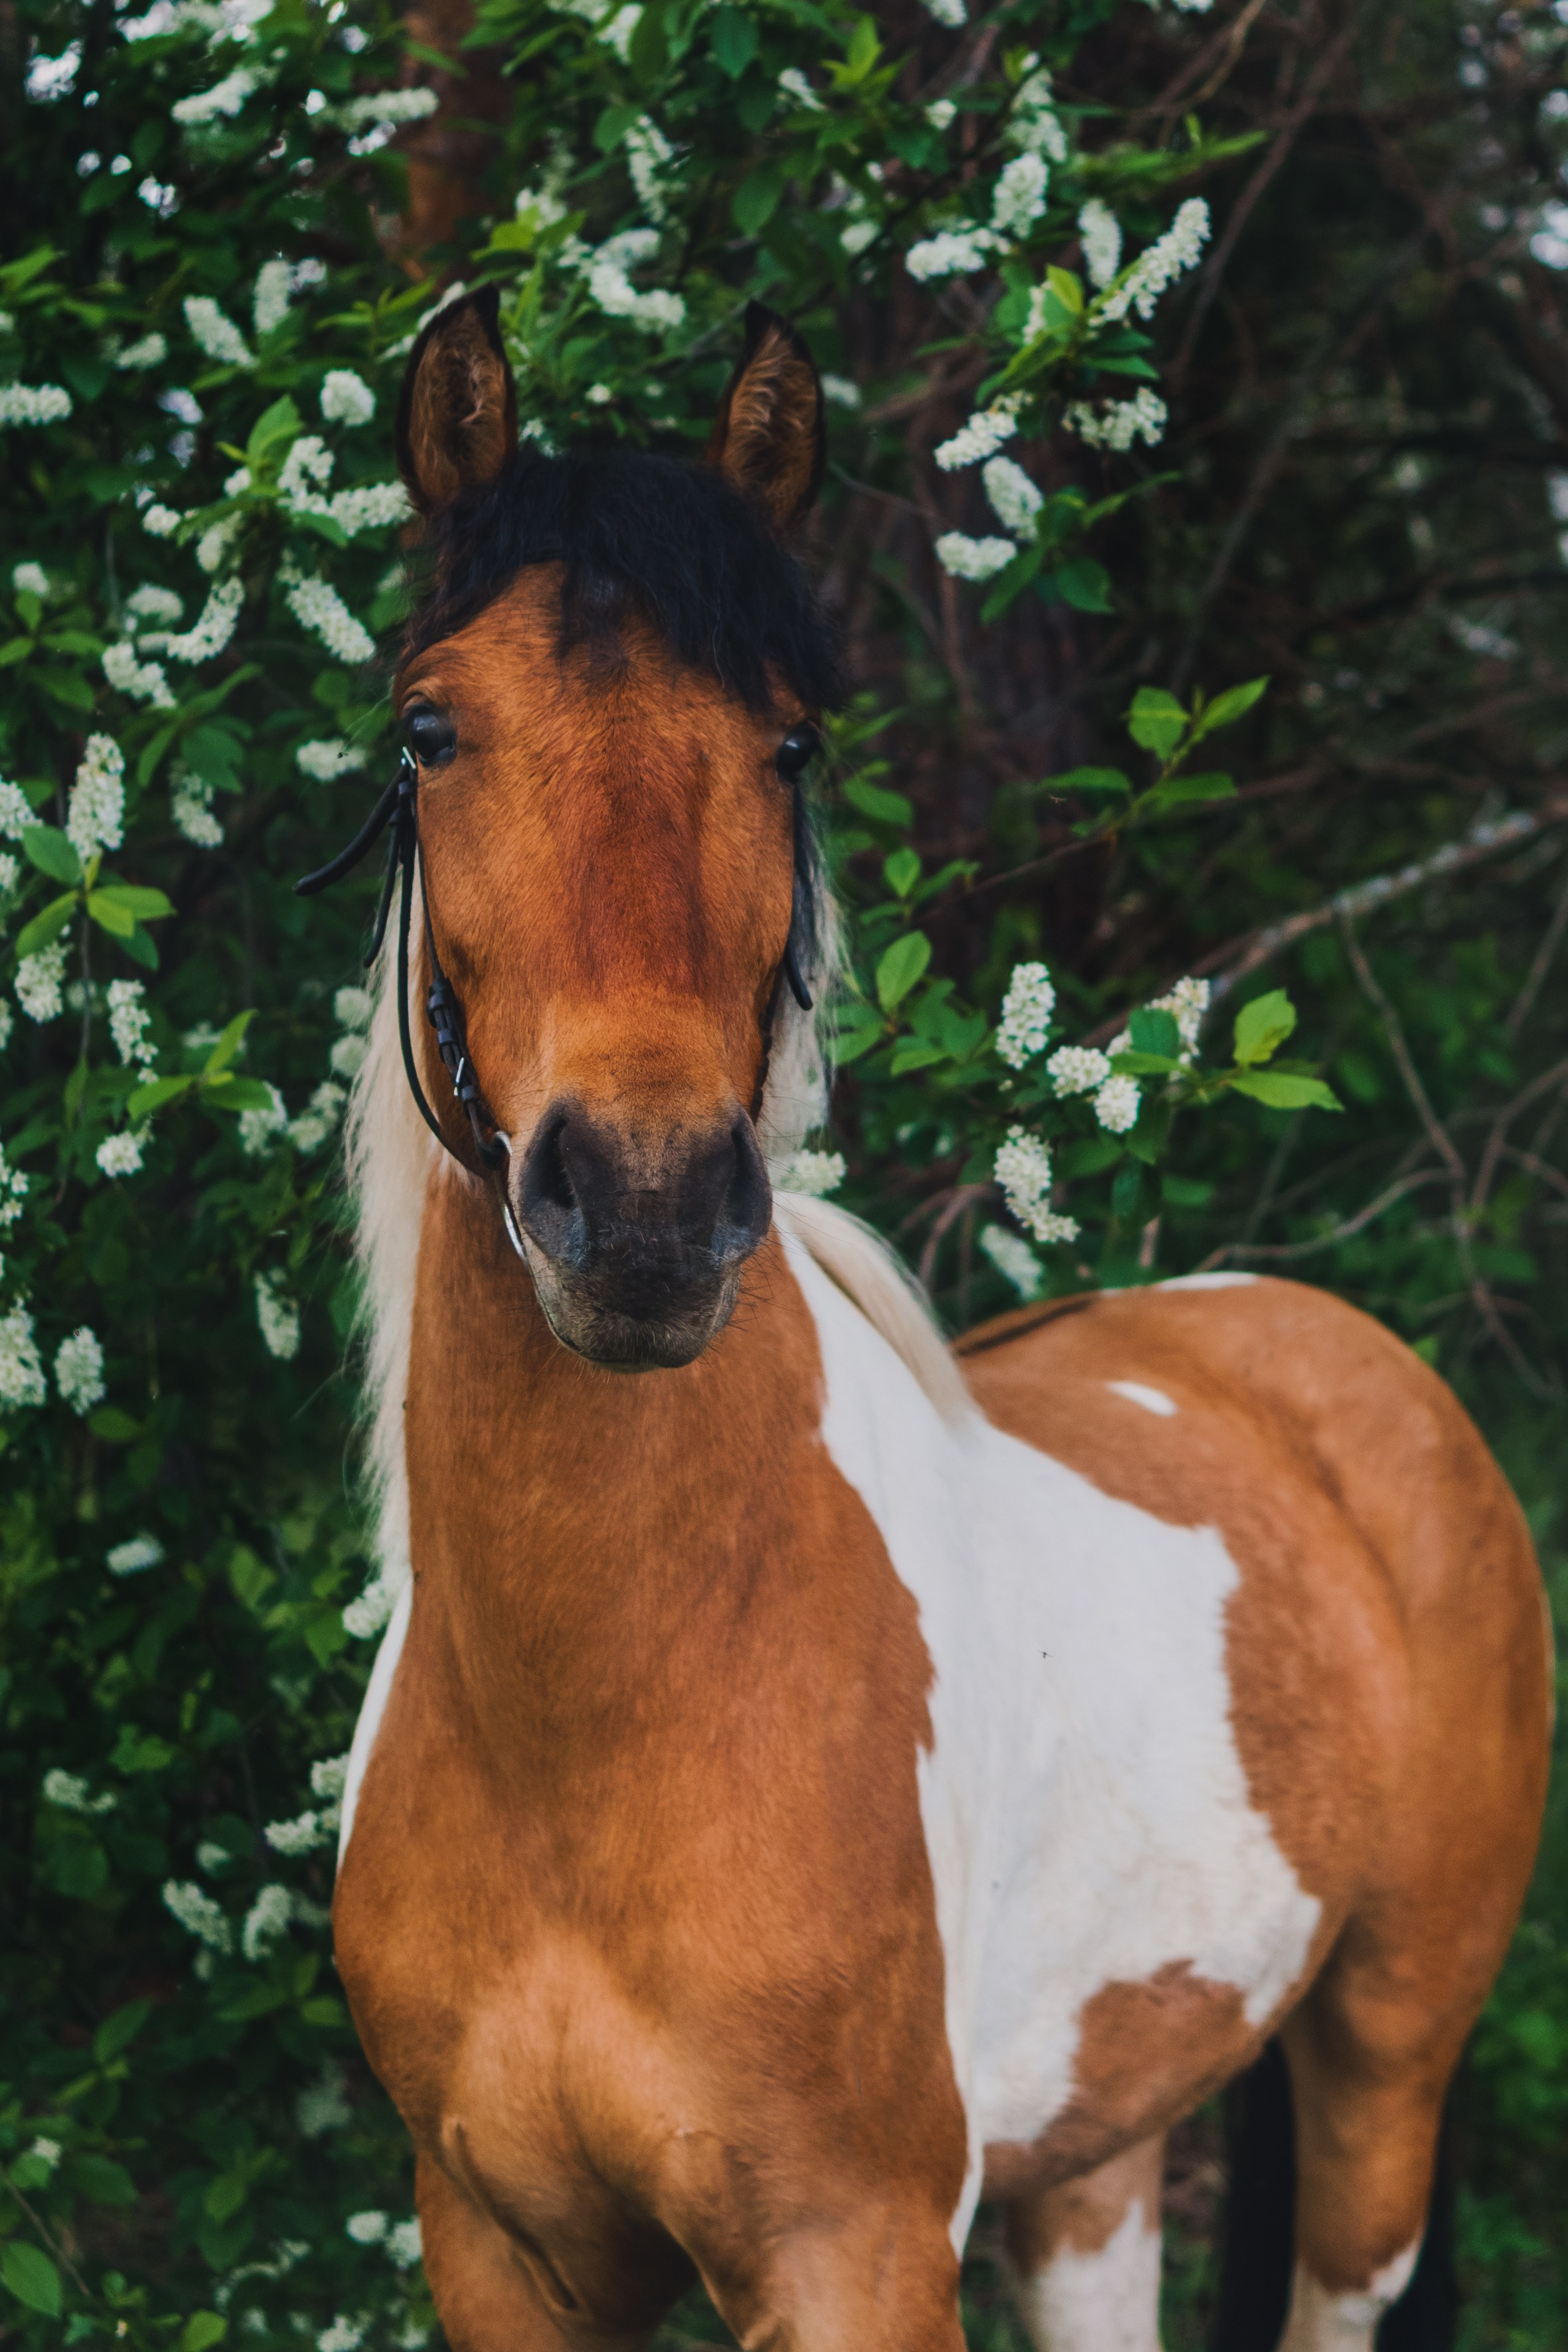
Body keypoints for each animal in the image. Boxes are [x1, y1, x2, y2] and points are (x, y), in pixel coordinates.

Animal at [325, 291, 1551, 2352]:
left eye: (792, 742)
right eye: (431, 727)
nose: (642, 1209)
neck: (593, 1719)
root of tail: (1340, 1354)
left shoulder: (856, 2248)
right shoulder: (499, 2251)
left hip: (1383, 2065)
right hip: (1093, 2161)